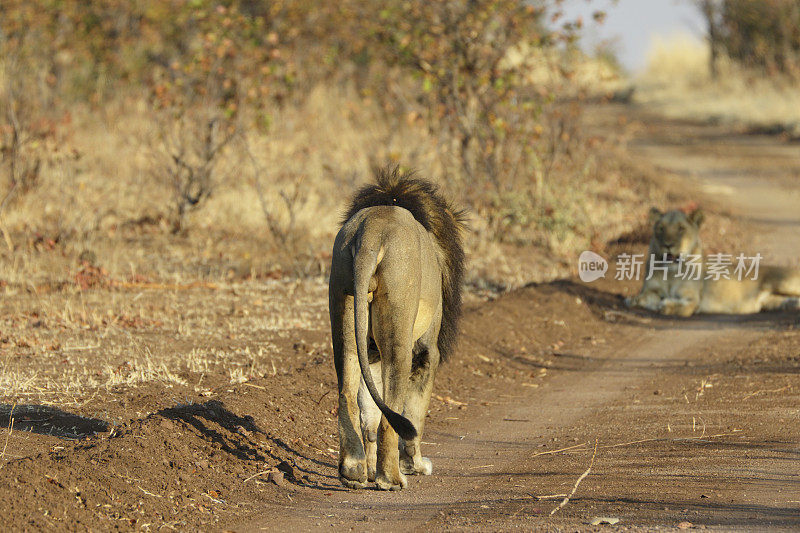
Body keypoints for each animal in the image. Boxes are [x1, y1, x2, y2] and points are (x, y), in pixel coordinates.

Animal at [330, 166, 468, 490]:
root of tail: (370, 232)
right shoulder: (428, 352)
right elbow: (415, 413)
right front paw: (415, 465)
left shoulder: (371, 352)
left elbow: (369, 412)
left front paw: (368, 468)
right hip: (399, 337)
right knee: (391, 418)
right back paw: (390, 477)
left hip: (344, 313)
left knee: (349, 396)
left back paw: (354, 470)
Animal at [624, 208, 800, 316]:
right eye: (661, 228)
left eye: (681, 228)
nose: (668, 244)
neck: (670, 272)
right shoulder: (651, 289)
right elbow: (641, 298)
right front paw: (636, 300)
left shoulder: (693, 299)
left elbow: (681, 307)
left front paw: (666, 305)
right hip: (772, 301)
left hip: (782, 282)